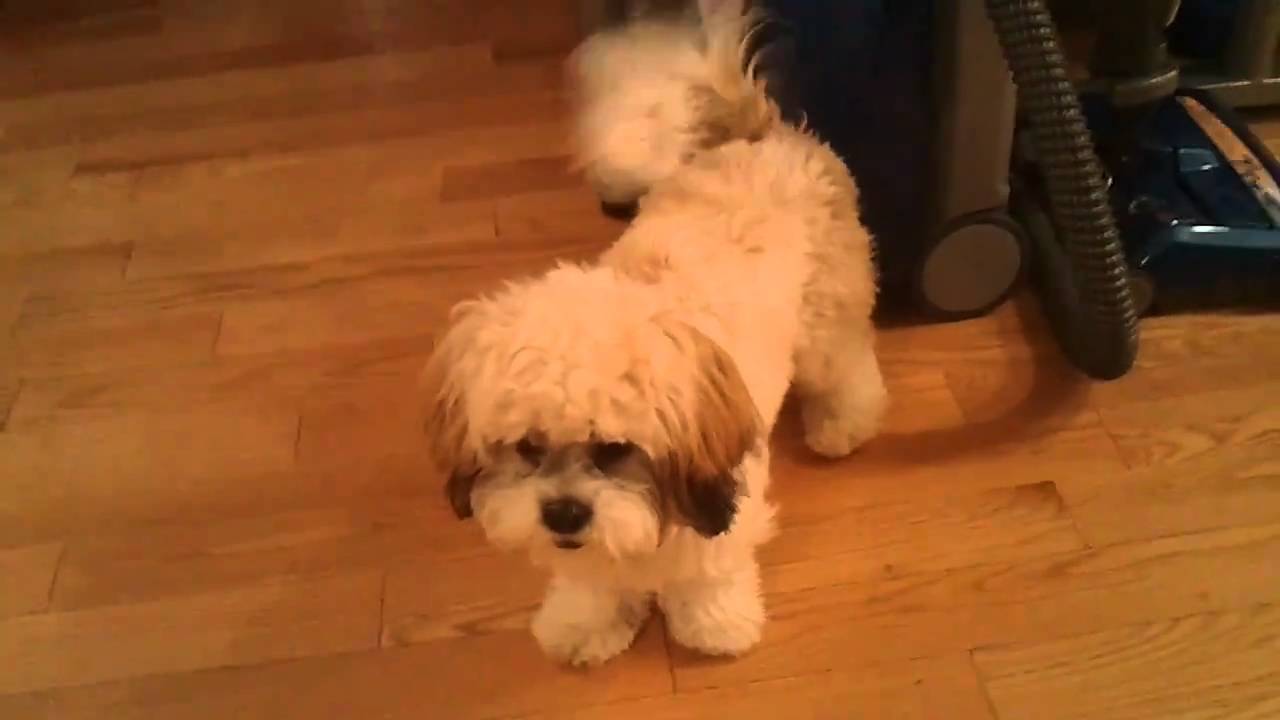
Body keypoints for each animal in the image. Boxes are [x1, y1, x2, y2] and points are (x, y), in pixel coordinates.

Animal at [424, 4, 885, 666]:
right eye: (529, 447)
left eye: (615, 448)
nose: (564, 512)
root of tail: (757, 136)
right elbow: (591, 582)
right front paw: (584, 622)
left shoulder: (723, 507)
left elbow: (709, 574)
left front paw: (714, 623)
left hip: (826, 323)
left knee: (848, 366)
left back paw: (842, 424)